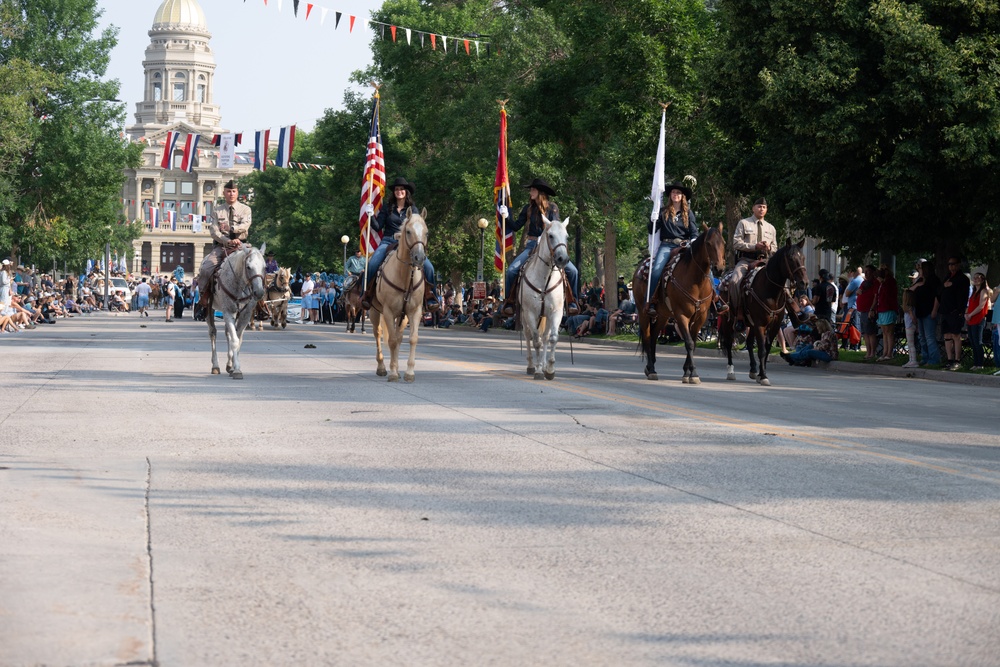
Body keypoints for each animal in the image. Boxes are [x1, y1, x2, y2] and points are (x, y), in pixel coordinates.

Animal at [206, 244, 266, 380]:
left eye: (264, 267)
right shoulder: (228, 312)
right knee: (213, 333)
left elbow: (238, 340)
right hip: (209, 308)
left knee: (228, 333)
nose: (259, 292)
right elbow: (235, 341)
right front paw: (237, 370)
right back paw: (215, 366)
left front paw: (234, 367)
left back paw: (229, 365)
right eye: (248, 267)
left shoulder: (245, 314)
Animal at [370, 211, 428, 384]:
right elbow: (392, 341)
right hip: (374, 312)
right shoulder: (388, 311)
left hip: (402, 317)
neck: (405, 277)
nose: (419, 257)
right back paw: (382, 367)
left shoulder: (414, 311)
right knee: (378, 334)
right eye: (408, 231)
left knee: (398, 337)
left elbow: (412, 338)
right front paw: (393, 372)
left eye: (426, 232)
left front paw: (409, 372)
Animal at [516, 215, 572, 380]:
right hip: (524, 316)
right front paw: (539, 370)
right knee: (528, 336)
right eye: (551, 235)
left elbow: (552, 338)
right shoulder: (530, 313)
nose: (562, 259)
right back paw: (531, 366)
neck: (545, 279)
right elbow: (536, 341)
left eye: (567, 236)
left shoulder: (556, 312)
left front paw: (550, 369)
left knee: (546, 337)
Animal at [632, 224, 728, 384]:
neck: (696, 281)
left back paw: (651, 367)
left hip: (663, 315)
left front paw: (687, 372)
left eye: (724, 243)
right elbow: (689, 342)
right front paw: (693, 373)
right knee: (647, 336)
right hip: (642, 312)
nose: (719, 269)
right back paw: (651, 370)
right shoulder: (681, 315)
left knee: (654, 336)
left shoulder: (701, 317)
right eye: (708, 243)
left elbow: (693, 343)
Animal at [716, 239, 808, 386]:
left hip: (750, 324)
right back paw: (731, 371)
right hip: (728, 320)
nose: (804, 282)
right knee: (729, 343)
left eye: (803, 258)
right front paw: (764, 376)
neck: (771, 291)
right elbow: (762, 350)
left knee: (748, 342)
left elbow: (767, 347)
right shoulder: (760, 324)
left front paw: (760, 374)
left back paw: (753, 370)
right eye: (790, 258)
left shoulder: (775, 325)